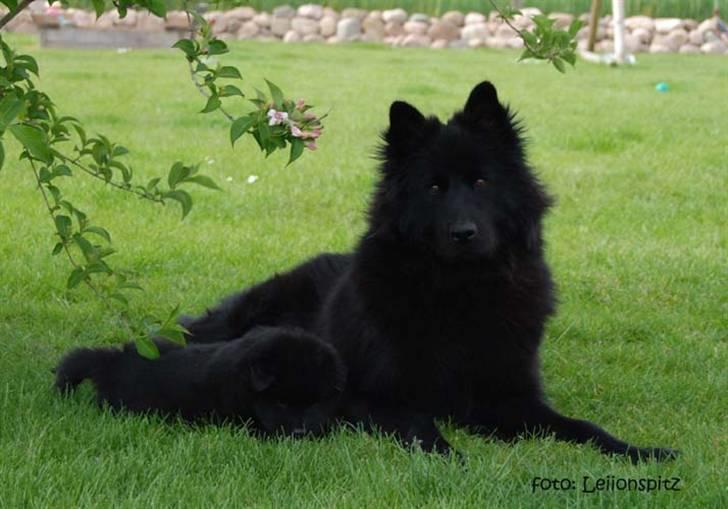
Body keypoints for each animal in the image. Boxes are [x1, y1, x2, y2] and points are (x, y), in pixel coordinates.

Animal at [181, 81, 676, 462]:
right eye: (434, 187)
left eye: (481, 182)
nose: (464, 233)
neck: (461, 292)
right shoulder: (372, 396)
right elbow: (421, 427)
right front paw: (454, 459)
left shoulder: (510, 396)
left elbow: (583, 427)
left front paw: (640, 451)